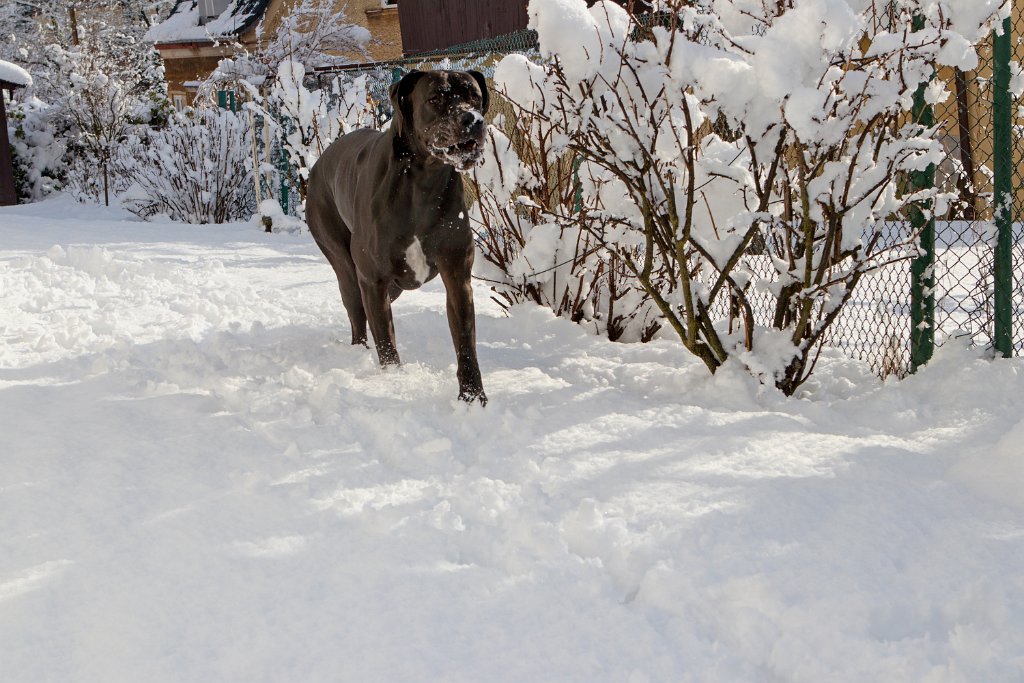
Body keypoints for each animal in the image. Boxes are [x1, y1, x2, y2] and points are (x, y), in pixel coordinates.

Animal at [305, 70, 489, 401]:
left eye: (475, 96)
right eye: (436, 98)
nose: (473, 119)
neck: (423, 180)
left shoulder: (457, 275)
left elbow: (466, 342)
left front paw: (472, 397)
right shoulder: (373, 280)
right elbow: (387, 345)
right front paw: (394, 382)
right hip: (344, 264)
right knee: (358, 314)